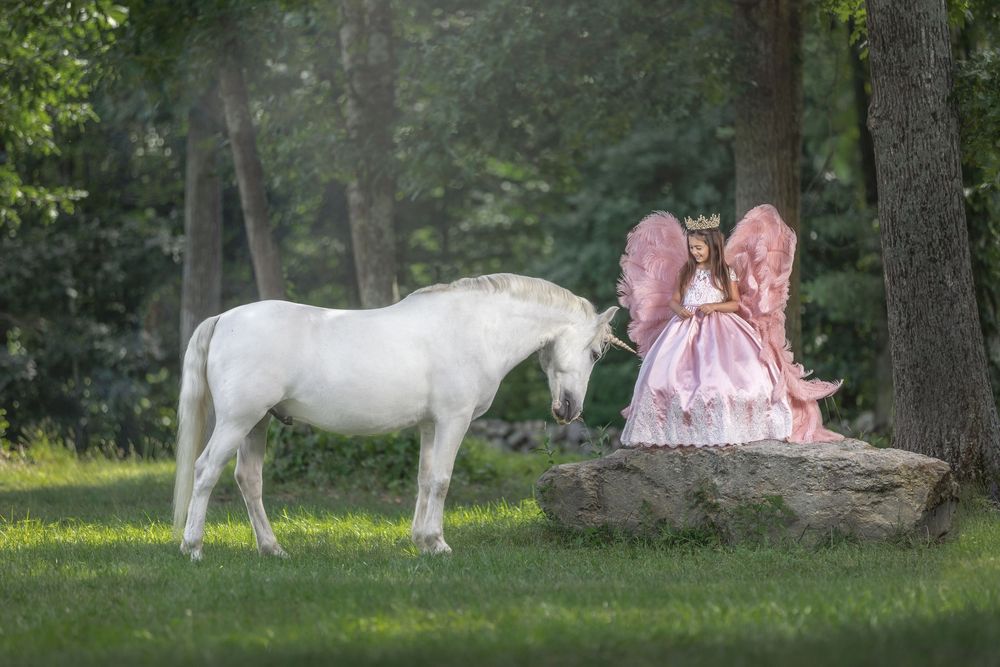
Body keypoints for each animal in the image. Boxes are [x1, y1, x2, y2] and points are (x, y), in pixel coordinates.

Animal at [172, 273, 632, 560]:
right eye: (595, 352)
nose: (568, 410)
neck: (476, 327)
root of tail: (224, 318)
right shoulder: (453, 421)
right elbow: (442, 480)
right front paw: (438, 543)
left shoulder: (430, 425)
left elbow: (425, 479)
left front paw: (421, 542)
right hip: (238, 421)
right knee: (206, 470)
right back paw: (193, 546)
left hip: (258, 424)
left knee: (249, 480)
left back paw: (272, 549)